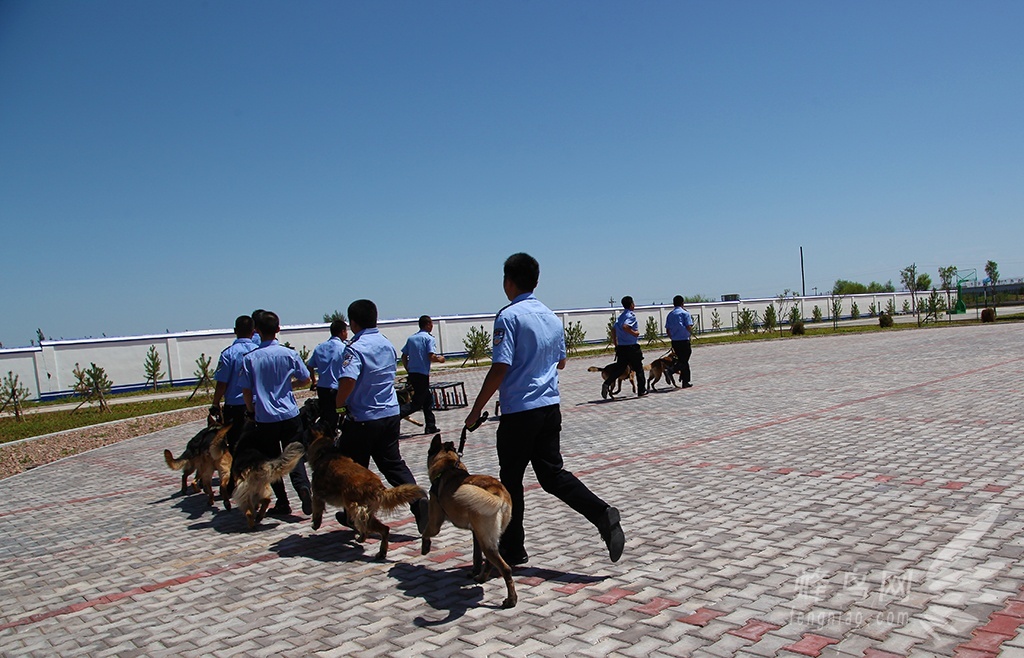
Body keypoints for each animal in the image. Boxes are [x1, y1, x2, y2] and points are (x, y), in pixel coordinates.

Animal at [305, 431, 430, 560]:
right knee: (385, 529)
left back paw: (362, 537)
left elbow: (317, 511)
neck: (326, 452)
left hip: (356, 508)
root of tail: (377, 487)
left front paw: (315, 524)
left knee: (366, 527)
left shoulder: (317, 496)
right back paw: (381, 551)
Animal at [423, 435, 520, 609]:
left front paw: (425, 547)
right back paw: (481, 578)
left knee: (505, 569)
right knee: (489, 562)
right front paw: (474, 570)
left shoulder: (434, 522)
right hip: (486, 538)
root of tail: (497, 492)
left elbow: (425, 532)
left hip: (486, 541)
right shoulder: (475, 532)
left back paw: (511, 600)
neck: (448, 467)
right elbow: (476, 556)